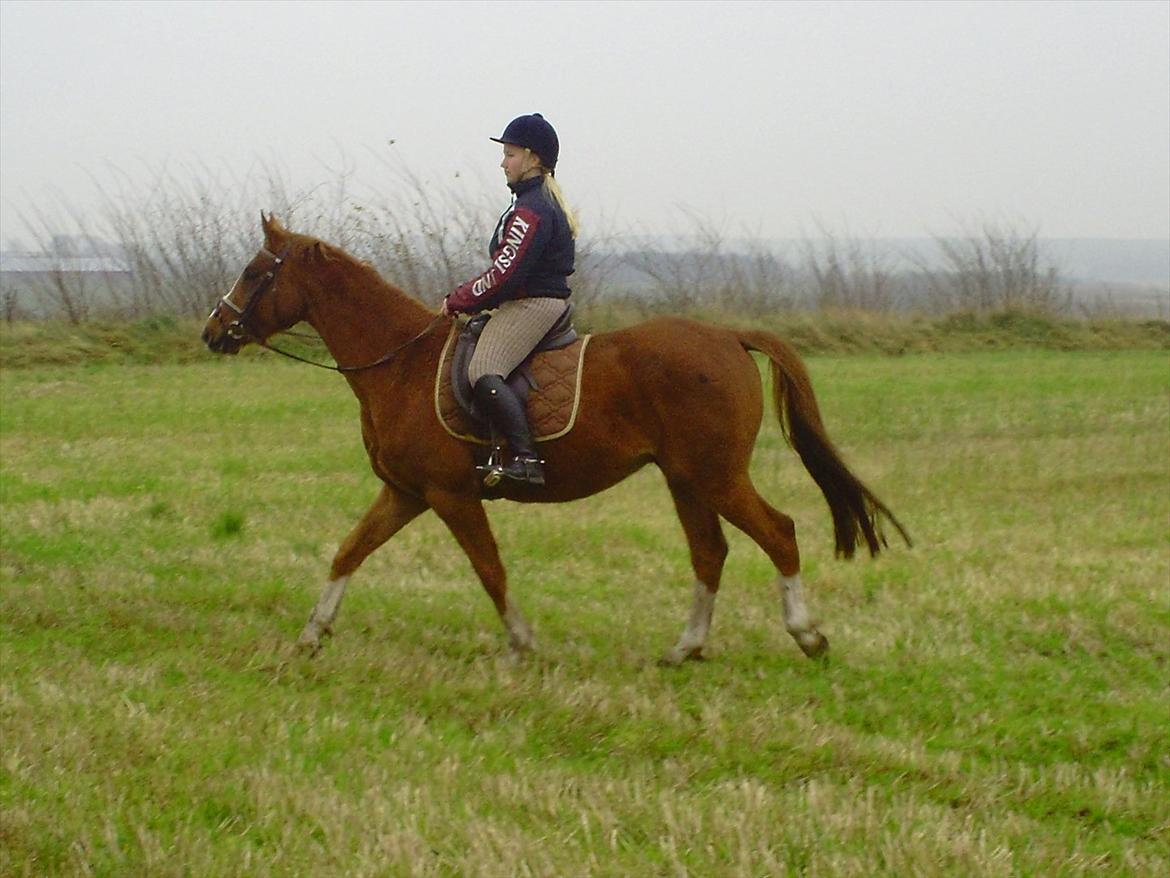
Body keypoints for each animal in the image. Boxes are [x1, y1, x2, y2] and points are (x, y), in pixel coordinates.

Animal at [203, 215, 912, 664]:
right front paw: (311, 635)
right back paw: (685, 649)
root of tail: (729, 337)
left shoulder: (449, 494)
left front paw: (521, 643)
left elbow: (489, 569)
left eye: (254, 272)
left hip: (715, 476)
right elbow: (348, 552)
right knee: (710, 553)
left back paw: (807, 636)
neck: (399, 361)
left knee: (778, 534)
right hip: (685, 479)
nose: (212, 332)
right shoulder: (406, 492)